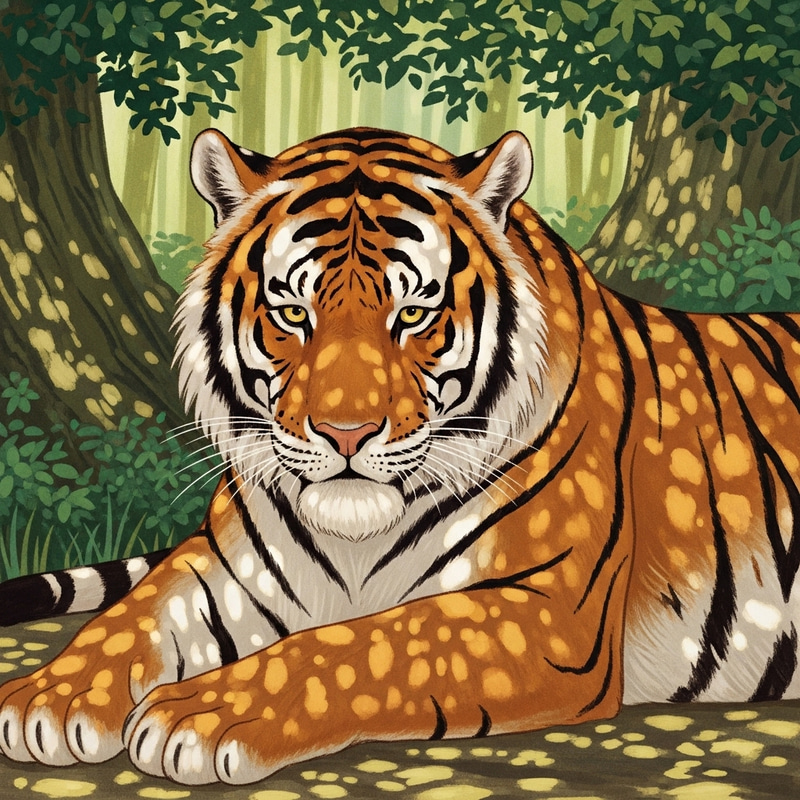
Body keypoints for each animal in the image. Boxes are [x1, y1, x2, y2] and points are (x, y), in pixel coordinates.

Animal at [0, 125, 798, 786]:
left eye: (413, 314)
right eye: (293, 313)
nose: (346, 432)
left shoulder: (546, 610)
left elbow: (364, 644)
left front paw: (201, 712)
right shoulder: (228, 566)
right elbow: (131, 616)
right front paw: (48, 696)